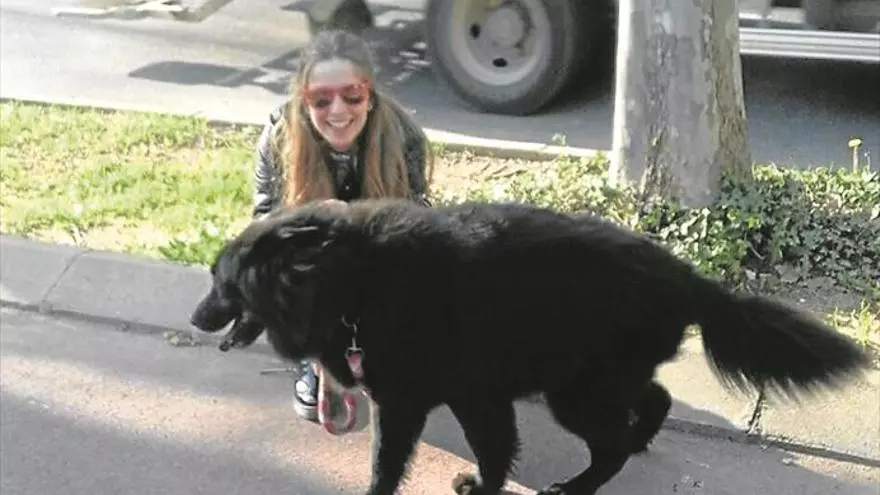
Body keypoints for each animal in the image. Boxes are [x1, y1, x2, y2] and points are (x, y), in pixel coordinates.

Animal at [190, 198, 870, 495]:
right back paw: (640, 442)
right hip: (595, 377)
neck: (347, 282)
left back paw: (581, 485)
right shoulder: (477, 397)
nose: (196, 319)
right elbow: (493, 452)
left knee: (612, 444)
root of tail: (689, 278)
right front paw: (483, 486)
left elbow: (391, 463)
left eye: (221, 281)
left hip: (578, 391)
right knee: (654, 399)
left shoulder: (417, 402)